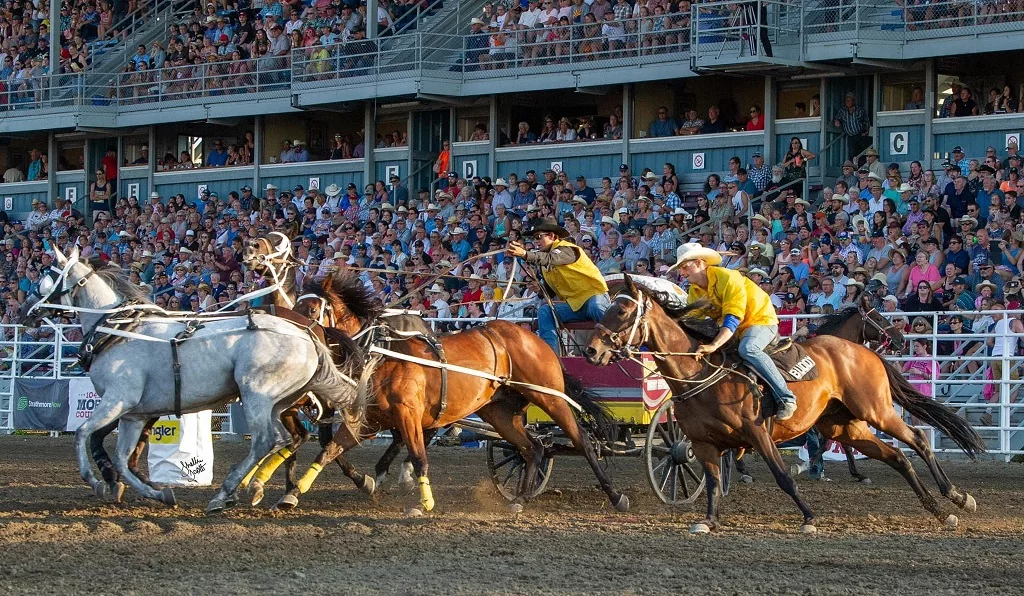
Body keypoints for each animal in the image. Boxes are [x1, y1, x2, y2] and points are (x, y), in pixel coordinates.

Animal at [19, 245, 366, 516]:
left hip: (257, 396)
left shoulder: (117, 400)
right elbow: (121, 458)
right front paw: (158, 493)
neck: (120, 330)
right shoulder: (134, 415)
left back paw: (225, 494)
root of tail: (308, 334)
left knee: (266, 440)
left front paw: (95, 481)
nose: (25, 311)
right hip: (279, 403)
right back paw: (253, 489)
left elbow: (82, 434)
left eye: (48, 277)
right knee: (283, 440)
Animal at [284, 272, 626, 516]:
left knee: (582, 442)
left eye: (312, 308)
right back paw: (520, 499)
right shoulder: (369, 421)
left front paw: (423, 503)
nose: (291, 334)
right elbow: (328, 451)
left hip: (550, 397)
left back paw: (616, 495)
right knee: (532, 450)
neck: (383, 354)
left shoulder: (408, 417)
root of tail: (533, 338)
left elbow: (419, 456)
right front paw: (293, 493)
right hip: (500, 412)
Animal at [589, 278, 987, 536]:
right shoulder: (702, 445)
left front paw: (809, 517)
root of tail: (864, 352)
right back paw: (940, 511)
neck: (701, 373)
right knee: (897, 456)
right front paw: (710, 520)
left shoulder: (758, 434)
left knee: (917, 439)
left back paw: (957, 498)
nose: (593, 349)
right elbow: (714, 483)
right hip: (848, 426)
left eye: (622, 310)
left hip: (877, 412)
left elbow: (782, 477)